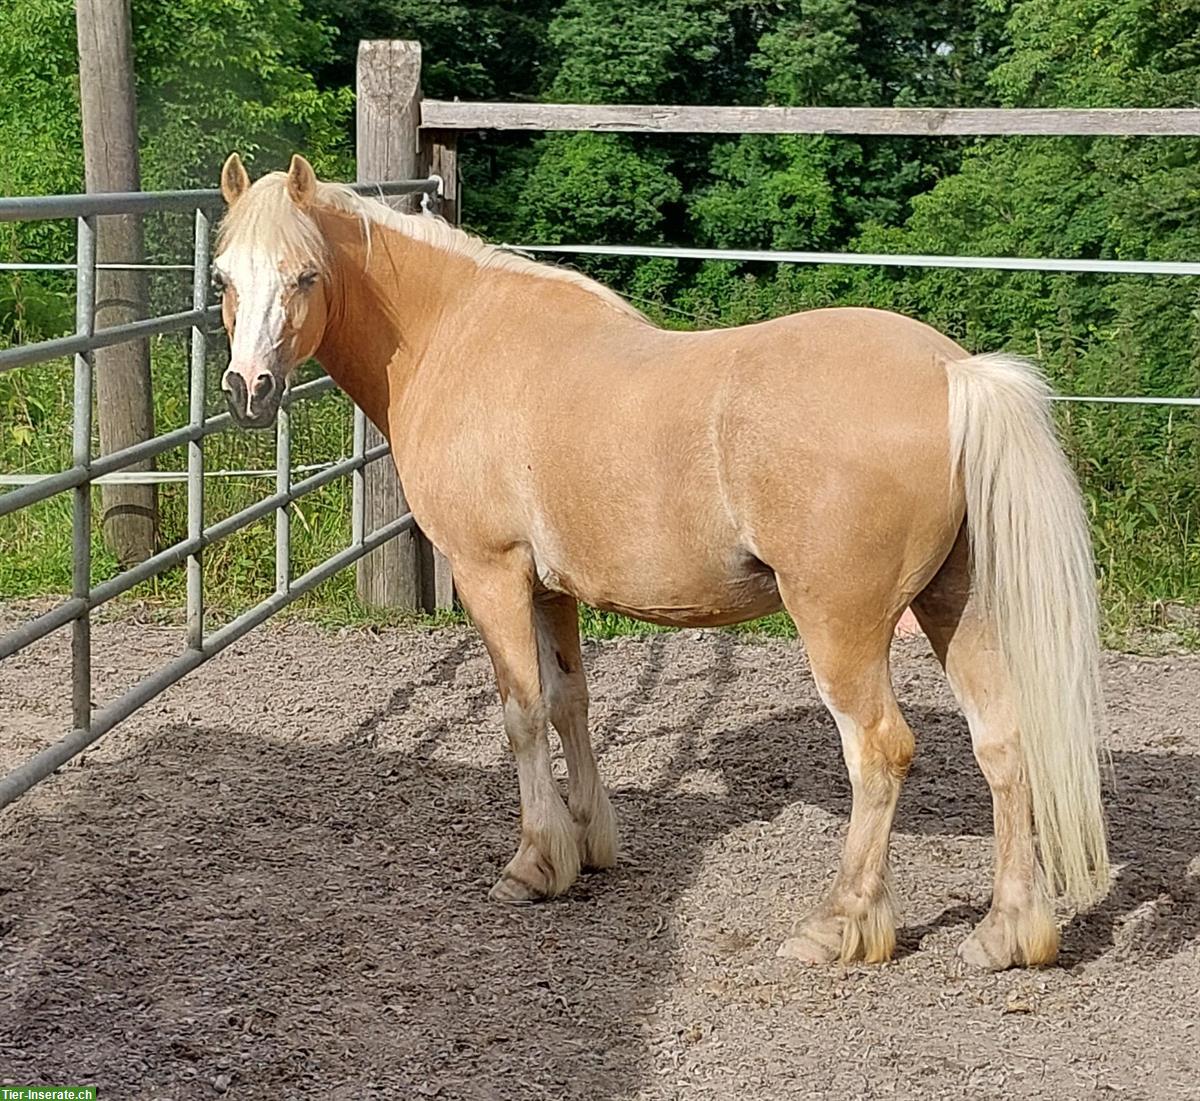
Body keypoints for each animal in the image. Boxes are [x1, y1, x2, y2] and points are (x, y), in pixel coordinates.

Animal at [213, 152, 1109, 971]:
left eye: (304, 275)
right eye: (223, 276)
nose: (248, 389)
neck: (457, 335)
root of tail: (953, 372)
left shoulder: (491, 572)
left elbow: (522, 710)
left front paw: (535, 863)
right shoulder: (552, 588)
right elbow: (569, 701)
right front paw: (589, 844)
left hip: (841, 625)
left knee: (881, 751)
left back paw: (839, 924)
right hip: (958, 605)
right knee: (1004, 742)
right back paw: (1007, 933)